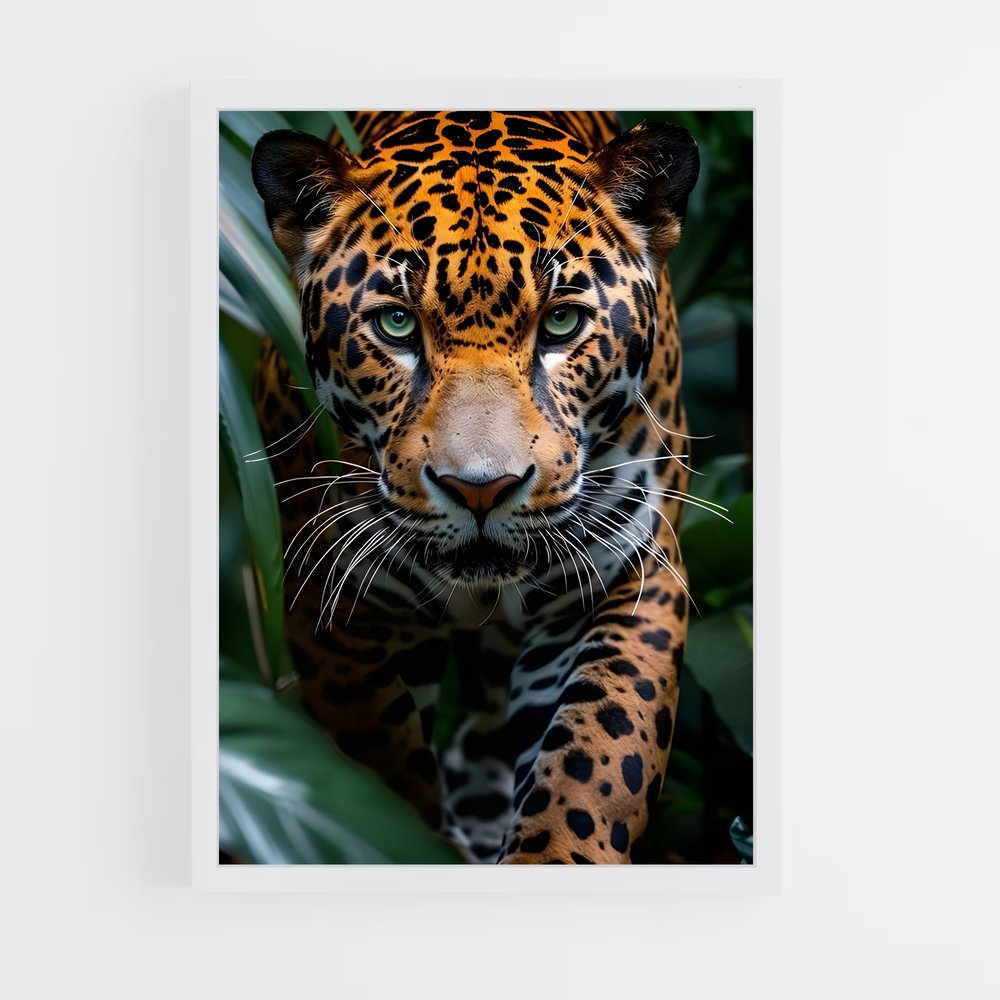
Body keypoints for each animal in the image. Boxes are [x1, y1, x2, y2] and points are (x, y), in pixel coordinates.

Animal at [249, 110, 699, 864]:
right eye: (397, 323)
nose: (481, 490)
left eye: (562, 322)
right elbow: (382, 771)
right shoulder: (334, 608)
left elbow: (596, 762)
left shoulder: (630, 577)